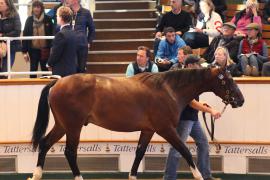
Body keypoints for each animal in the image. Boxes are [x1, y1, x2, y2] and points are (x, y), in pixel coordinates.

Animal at [28, 66, 245, 180]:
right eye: (227, 80)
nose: (240, 100)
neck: (168, 90)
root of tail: (58, 82)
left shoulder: (148, 130)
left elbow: (139, 153)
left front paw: (132, 176)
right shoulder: (166, 129)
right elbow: (184, 150)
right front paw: (199, 176)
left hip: (62, 125)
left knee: (45, 144)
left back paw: (36, 174)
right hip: (73, 127)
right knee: (70, 152)